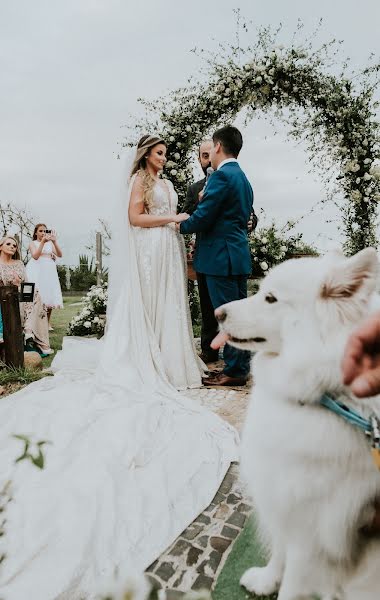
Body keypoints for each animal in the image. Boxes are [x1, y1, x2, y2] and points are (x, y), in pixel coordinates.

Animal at [215, 248, 380, 600]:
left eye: (270, 298)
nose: (218, 313)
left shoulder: (312, 534)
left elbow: (292, 583)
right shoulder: (285, 508)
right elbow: (279, 552)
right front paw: (266, 581)